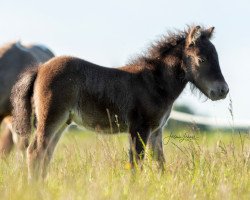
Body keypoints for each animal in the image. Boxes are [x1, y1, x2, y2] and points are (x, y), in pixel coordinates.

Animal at [11, 25, 229, 180]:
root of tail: (40, 68)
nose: (223, 90)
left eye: (217, 57)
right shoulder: (139, 128)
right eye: (201, 59)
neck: (154, 82)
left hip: (61, 123)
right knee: (35, 152)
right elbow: (136, 164)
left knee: (46, 154)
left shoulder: (156, 131)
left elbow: (159, 163)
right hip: (51, 118)